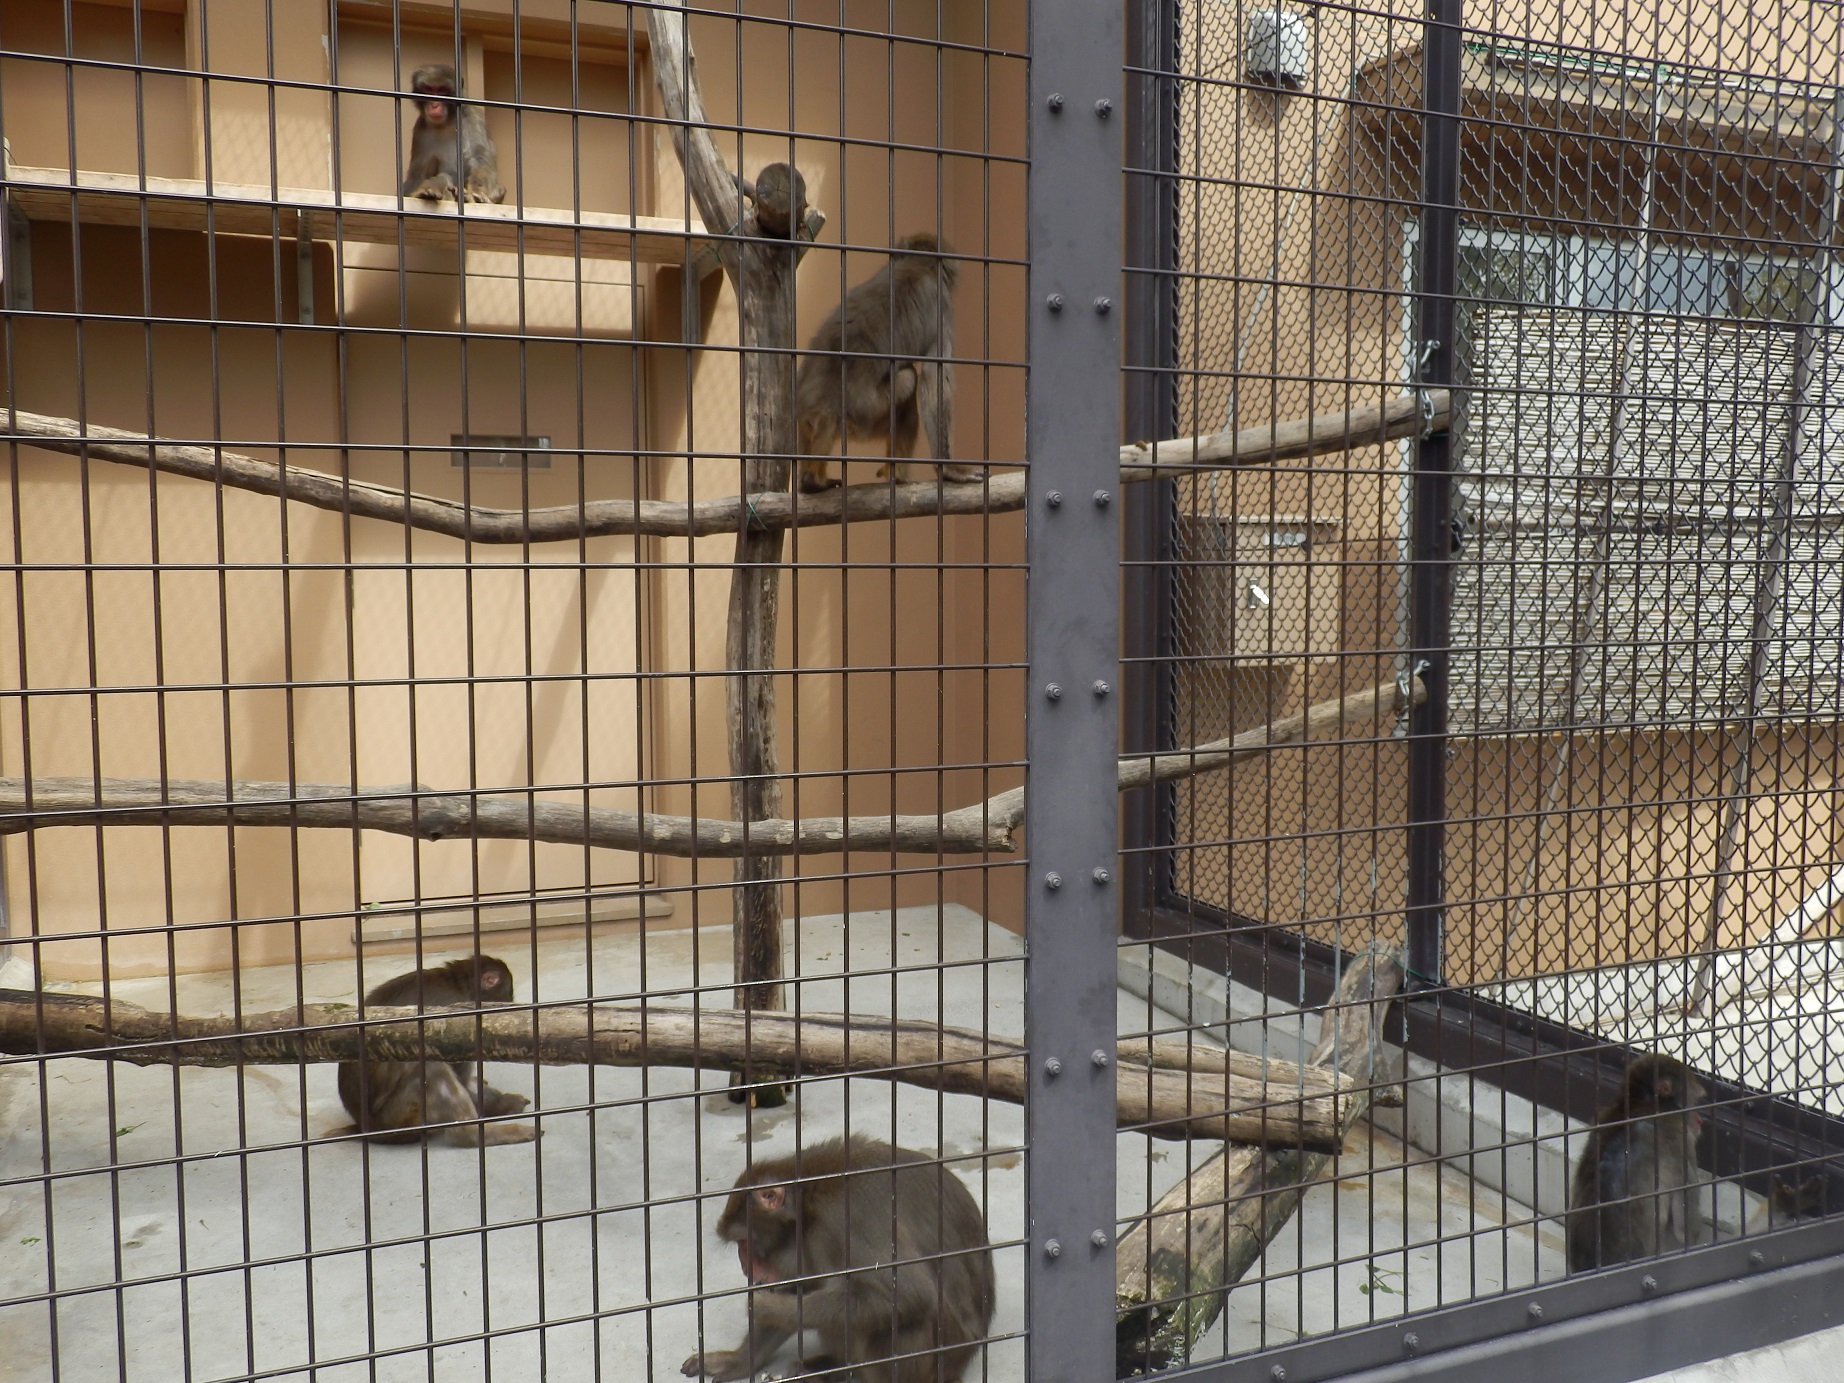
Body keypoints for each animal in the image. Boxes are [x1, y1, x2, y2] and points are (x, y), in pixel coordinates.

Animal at [335, 951, 538, 1150]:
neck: (459, 987)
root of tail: (364, 1126)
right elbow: (459, 1076)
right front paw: (501, 1104)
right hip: (398, 1119)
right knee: (430, 1068)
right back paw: (474, 1136)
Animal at [682, 1135, 995, 1383]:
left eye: (744, 1242)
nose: (745, 1267)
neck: (808, 1200)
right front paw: (738, 1361)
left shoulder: (845, 1218)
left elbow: (910, 1294)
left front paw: (766, 1306)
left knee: (905, 1317)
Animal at [785, 236, 981, 494]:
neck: (916, 265)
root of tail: (824, 405)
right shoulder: (942, 304)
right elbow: (934, 380)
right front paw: (950, 469)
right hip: (865, 417)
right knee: (909, 378)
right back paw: (894, 475)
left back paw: (811, 482)